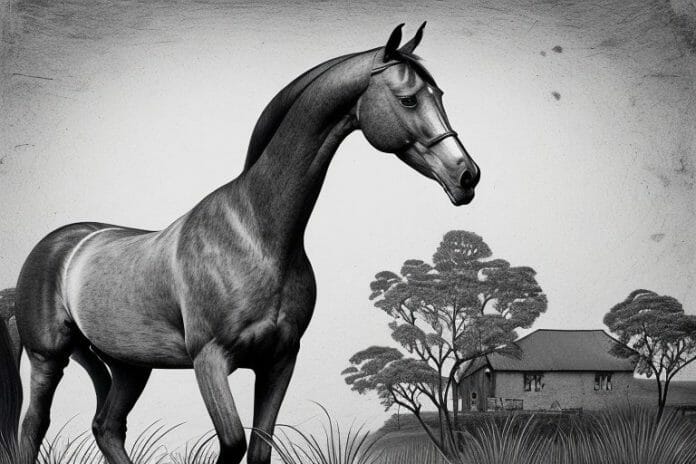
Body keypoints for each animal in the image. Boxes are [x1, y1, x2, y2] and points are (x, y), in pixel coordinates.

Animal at [0, 23, 480, 464]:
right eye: (408, 99)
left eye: (440, 95)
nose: (466, 175)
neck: (256, 236)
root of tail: (59, 245)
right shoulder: (210, 360)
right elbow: (232, 443)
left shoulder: (279, 361)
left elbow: (259, 448)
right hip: (49, 358)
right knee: (34, 428)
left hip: (129, 365)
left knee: (107, 427)